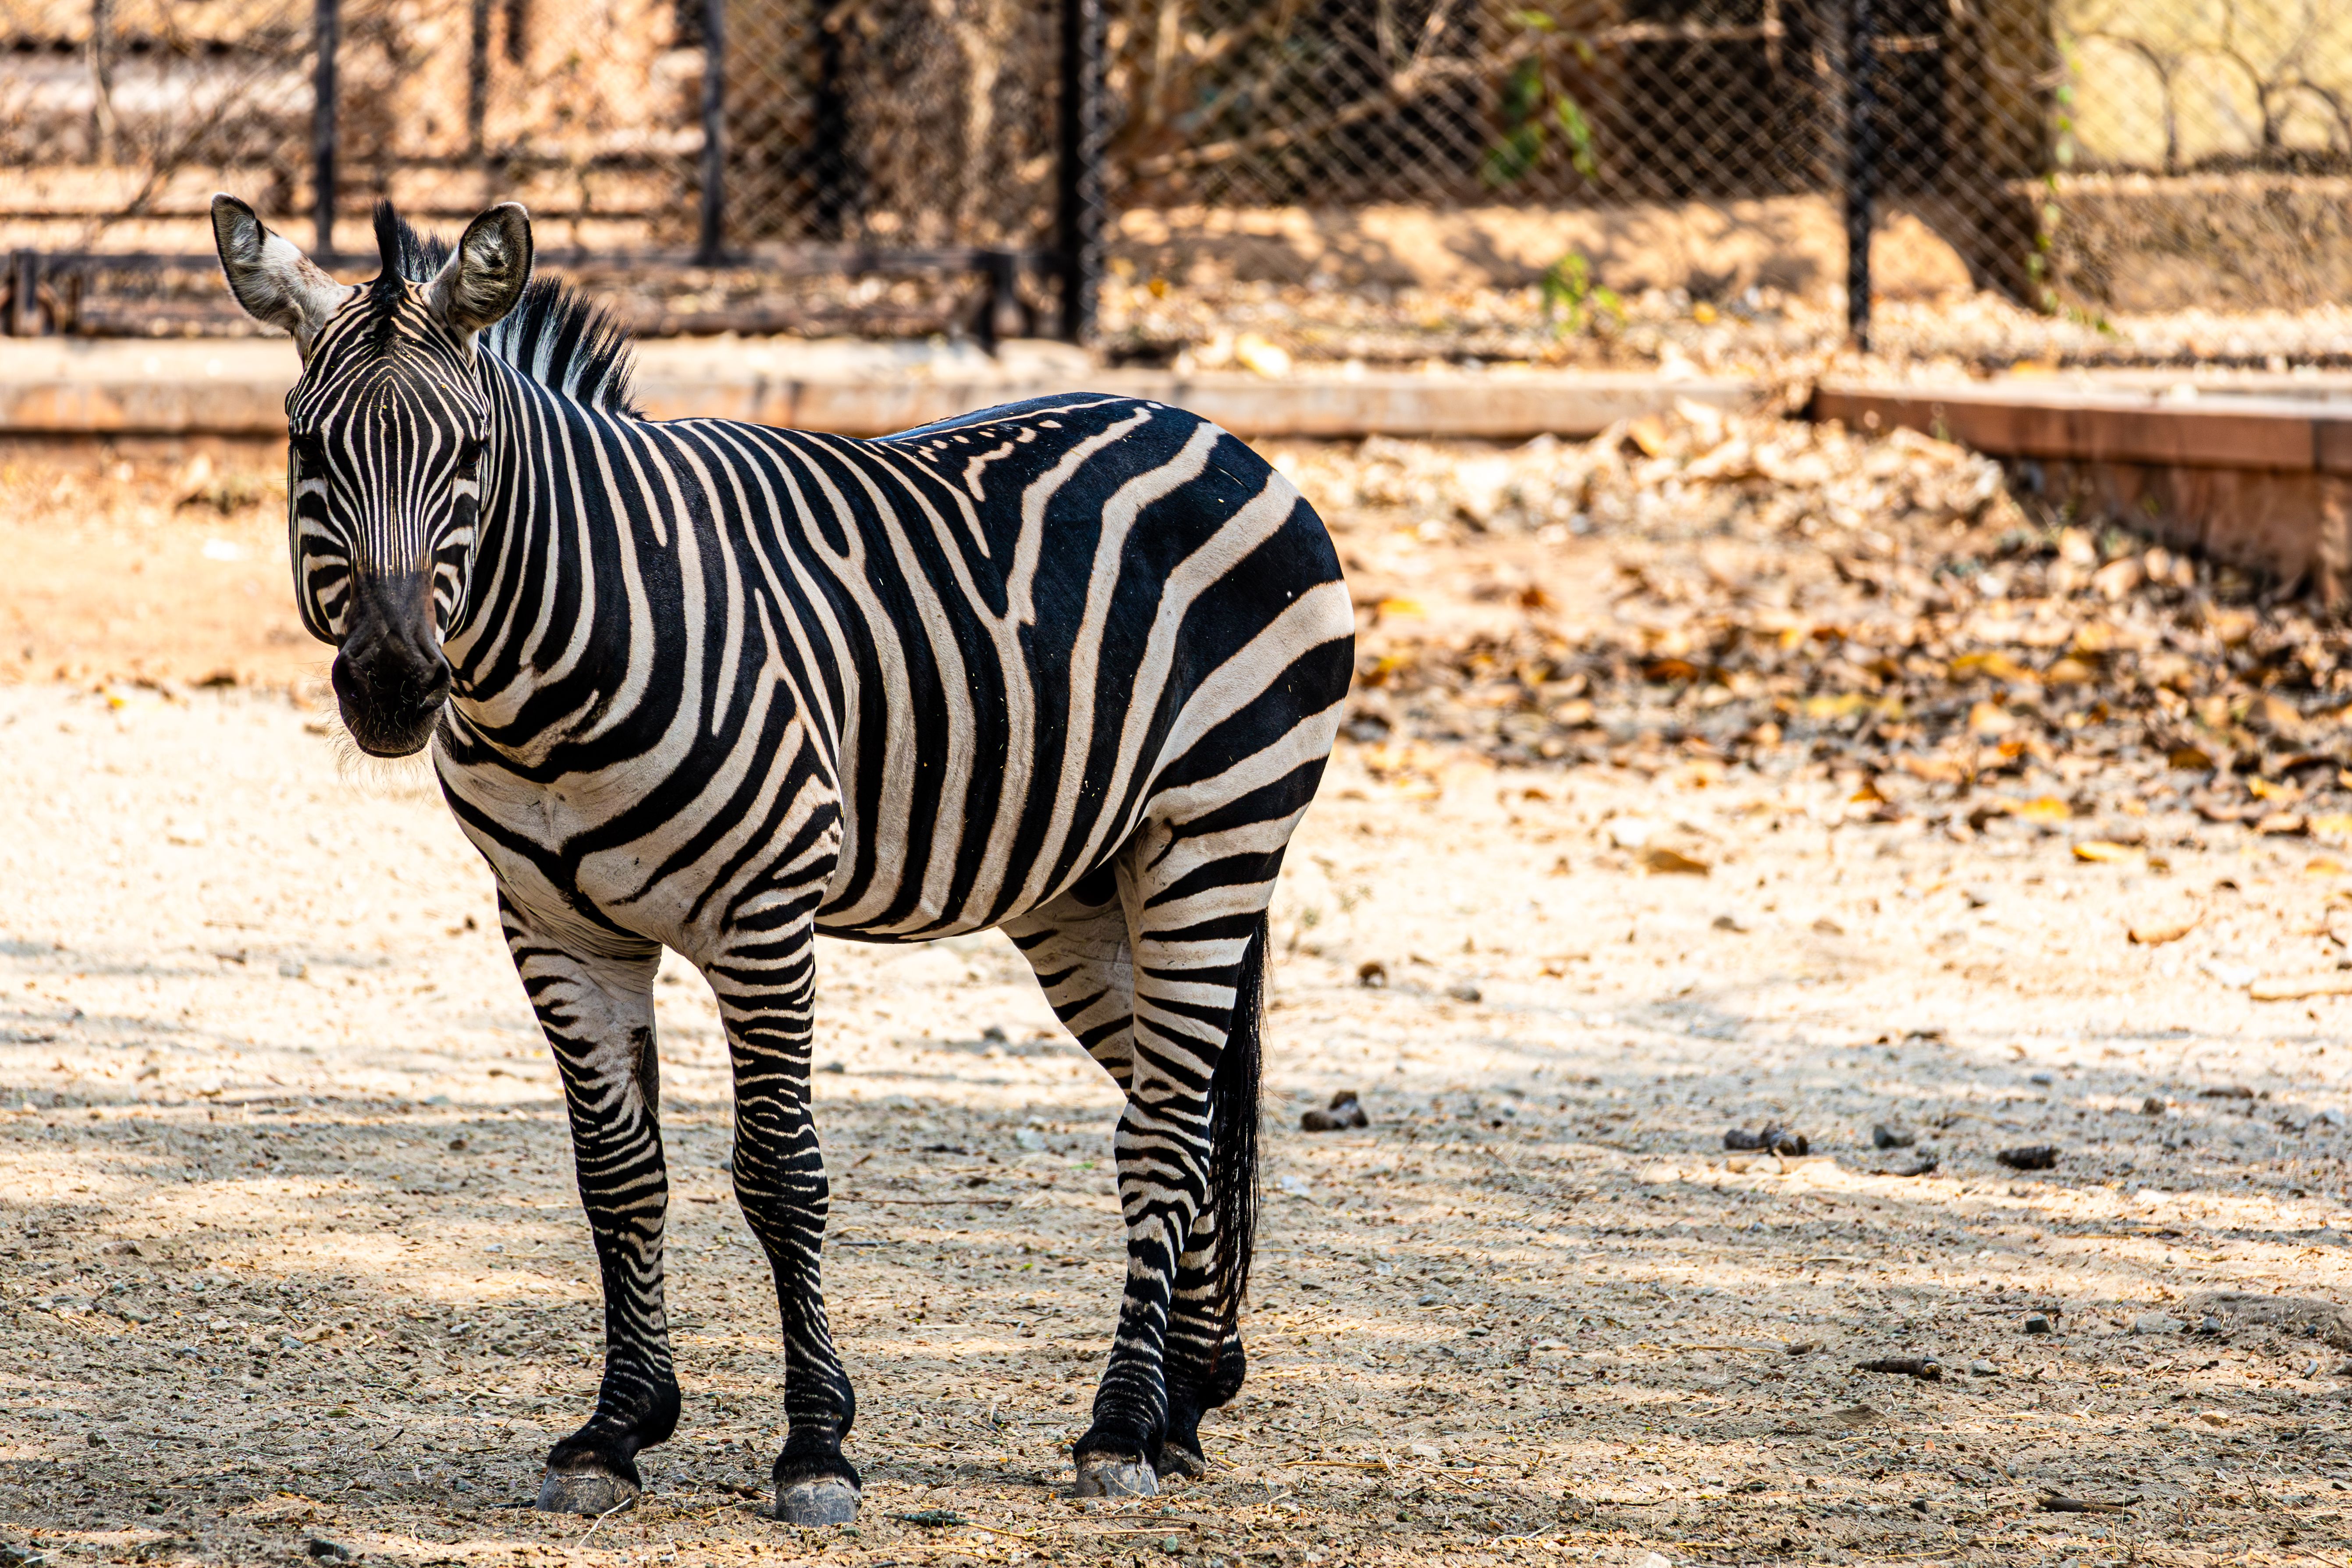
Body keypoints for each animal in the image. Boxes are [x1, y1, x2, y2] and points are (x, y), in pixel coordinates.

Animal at [210, 194, 1354, 1524]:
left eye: (470, 455)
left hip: (1212, 836)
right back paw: (1187, 1398)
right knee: (1190, 1099)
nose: (393, 687)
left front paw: (815, 1448)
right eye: (309, 447)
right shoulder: (557, 928)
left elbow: (778, 1173)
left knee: (1165, 1126)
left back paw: (1121, 1425)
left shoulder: (762, 919)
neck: (551, 674)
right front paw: (616, 1429)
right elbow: (617, 1172)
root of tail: (1207, 426)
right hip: (1082, 890)